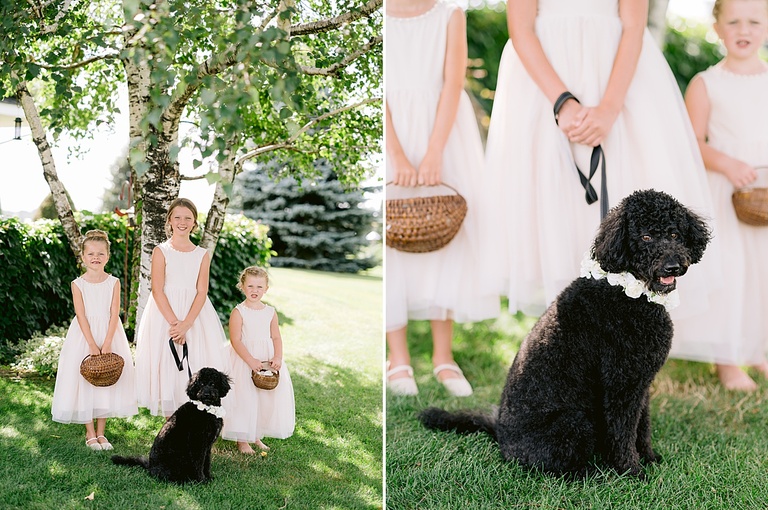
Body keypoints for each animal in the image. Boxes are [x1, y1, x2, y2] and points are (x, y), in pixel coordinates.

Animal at [416, 188, 712, 478]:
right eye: (646, 237)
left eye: (674, 234)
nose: (672, 266)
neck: (629, 291)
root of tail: (500, 436)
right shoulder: (621, 384)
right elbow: (622, 432)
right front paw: (631, 471)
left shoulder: (640, 384)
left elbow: (642, 426)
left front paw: (649, 459)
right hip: (575, 420)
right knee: (556, 467)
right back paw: (594, 475)